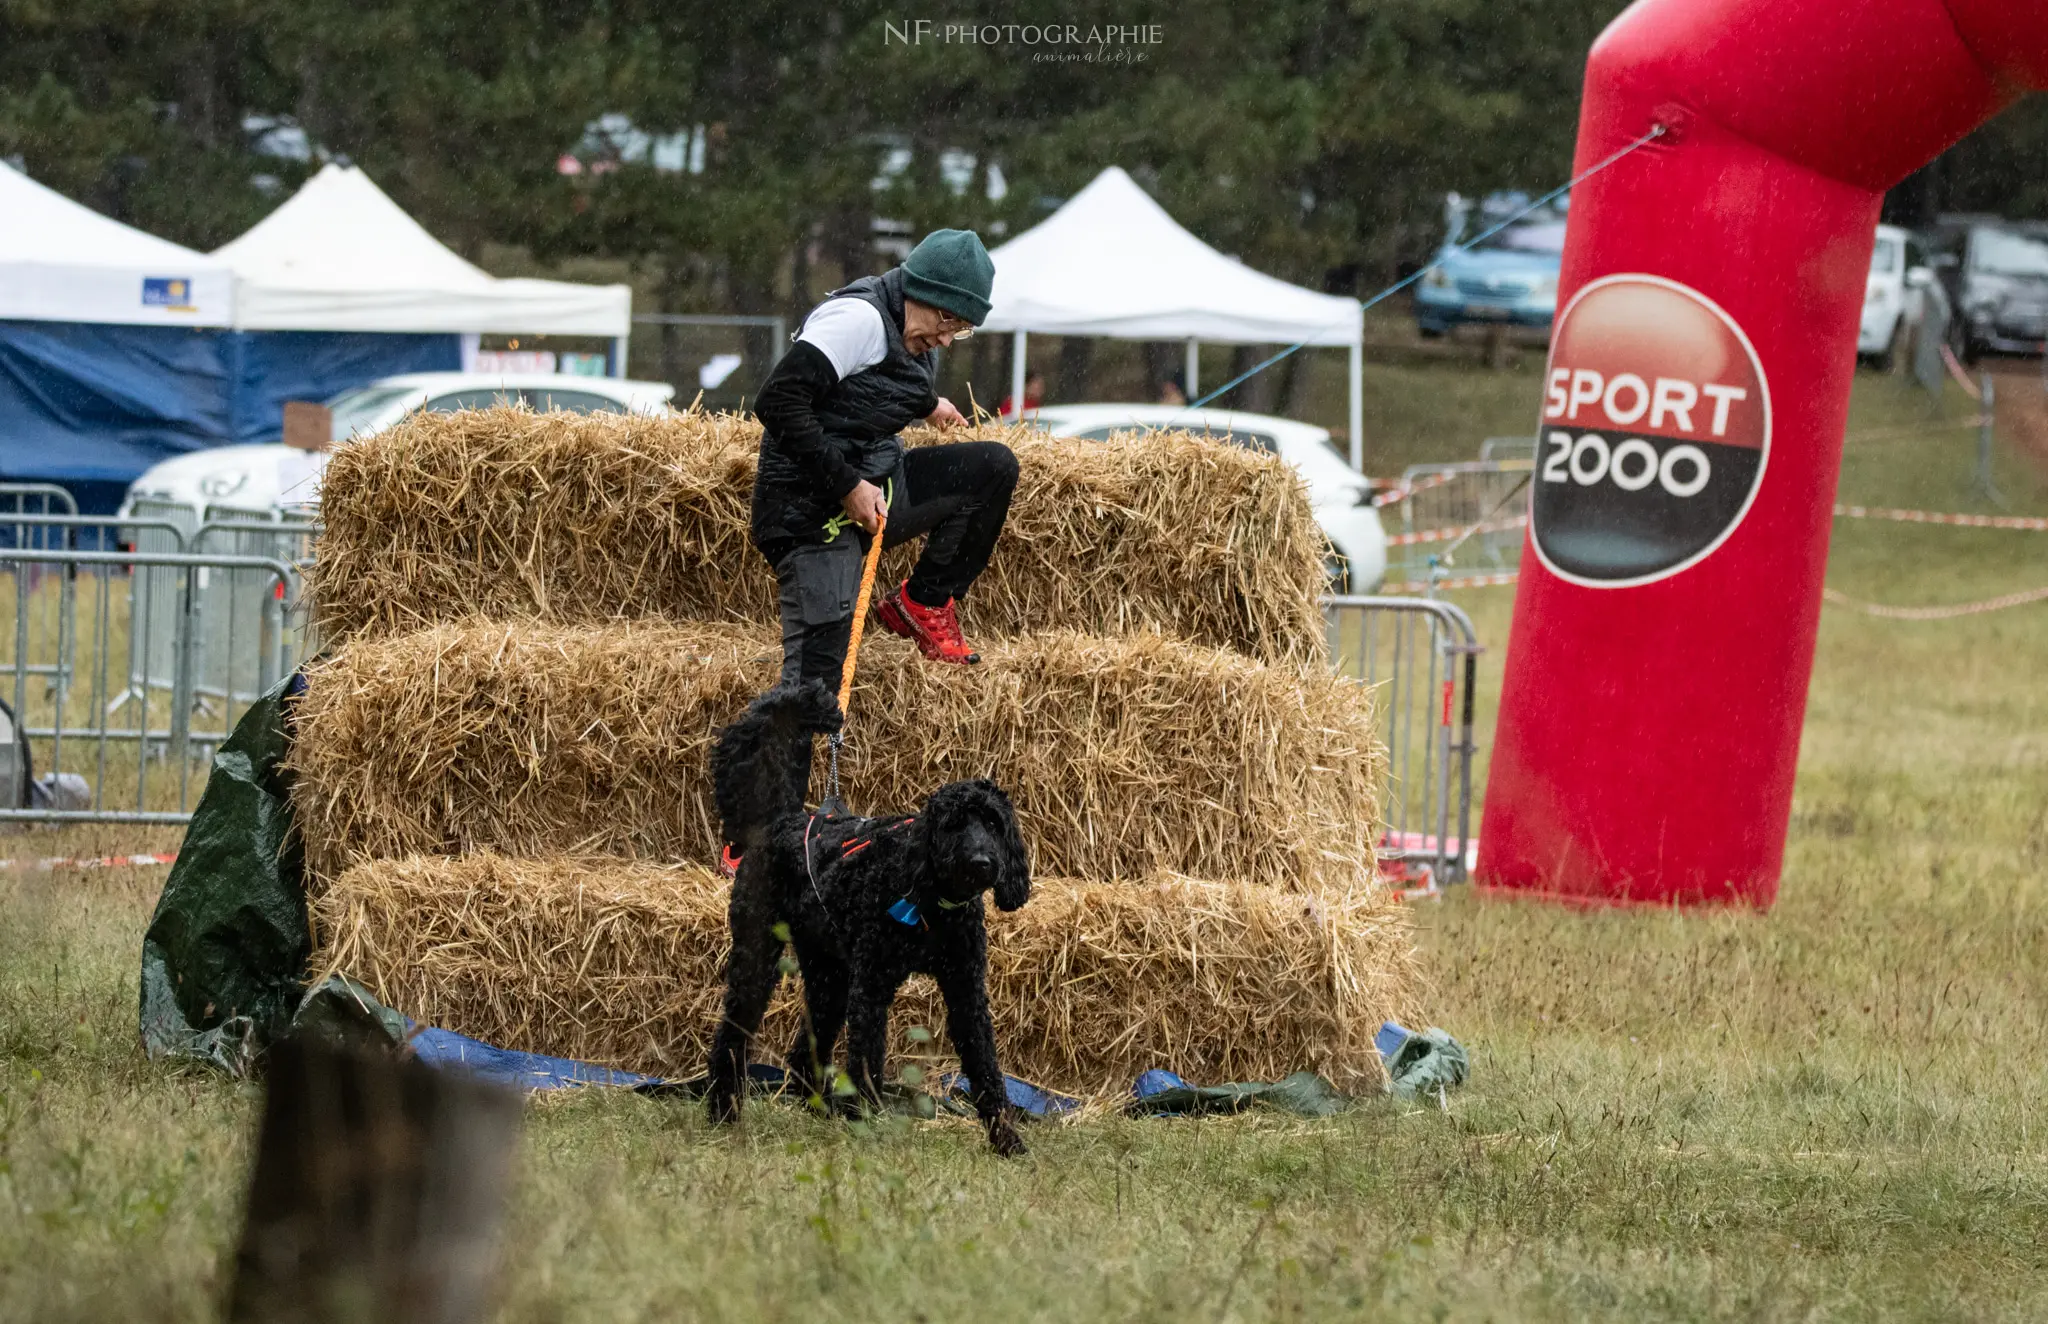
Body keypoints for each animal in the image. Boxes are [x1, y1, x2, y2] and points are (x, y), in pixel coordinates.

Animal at [704, 684, 1032, 1164]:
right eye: (954, 824)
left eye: (993, 823)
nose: (981, 862)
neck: (934, 903)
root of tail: (782, 820)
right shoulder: (872, 987)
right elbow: (867, 1060)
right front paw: (866, 1127)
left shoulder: (966, 991)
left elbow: (986, 1067)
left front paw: (1008, 1140)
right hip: (759, 953)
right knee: (732, 1035)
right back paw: (724, 1112)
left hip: (828, 973)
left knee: (804, 1050)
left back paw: (823, 1110)